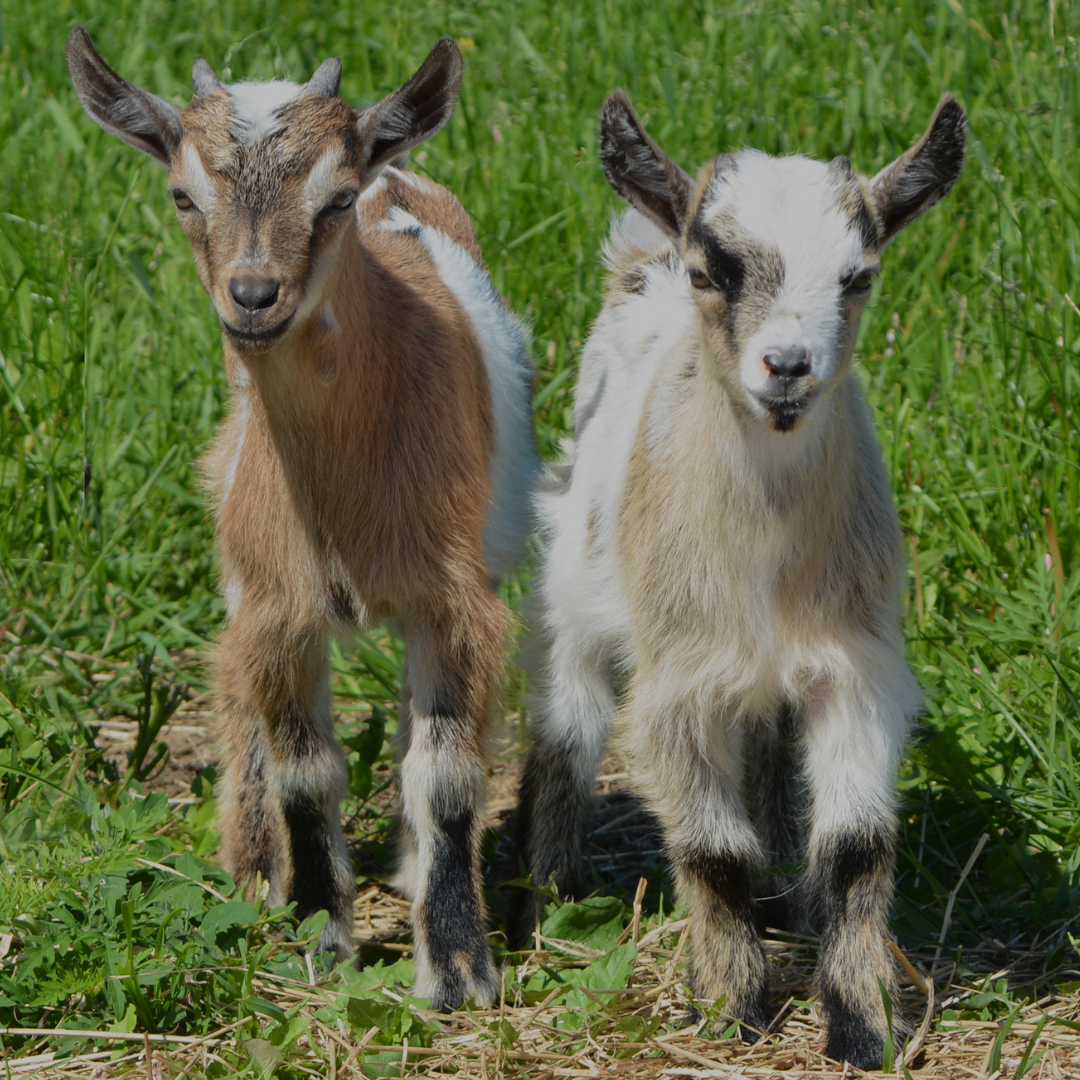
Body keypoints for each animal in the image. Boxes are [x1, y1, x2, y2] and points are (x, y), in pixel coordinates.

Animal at [67, 28, 538, 1011]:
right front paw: (316, 936)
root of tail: (406, 173)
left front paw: (459, 969)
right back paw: (253, 871)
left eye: (335, 199)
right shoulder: (278, 606)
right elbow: (305, 772)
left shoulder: (454, 602)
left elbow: (444, 774)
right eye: (182, 194)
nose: (254, 295)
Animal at [509, 91, 965, 1068]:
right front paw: (729, 1008)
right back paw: (549, 894)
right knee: (567, 725)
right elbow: (714, 853)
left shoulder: (853, 669)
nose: (787, 367)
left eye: (858, 276)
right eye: (712, 269)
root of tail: (639, 257)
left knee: (769, 757)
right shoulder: (680, 683)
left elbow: (857, 849)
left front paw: (865, 1023)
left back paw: (786, 900)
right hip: (571, 585)